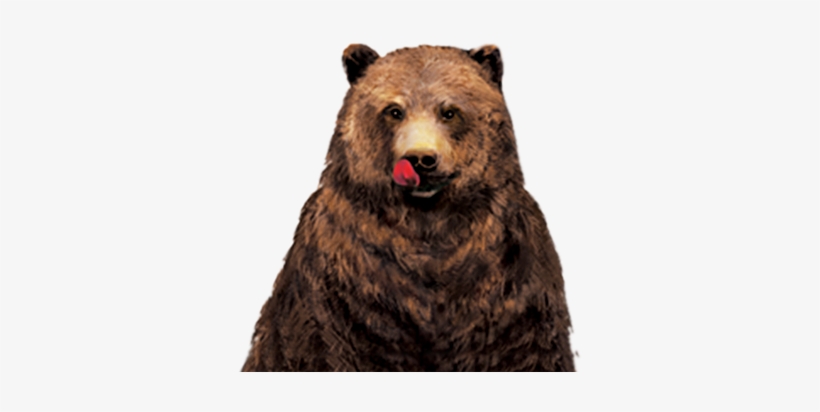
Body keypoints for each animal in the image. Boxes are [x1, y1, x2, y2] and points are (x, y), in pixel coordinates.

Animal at [242, 44, 574, 372]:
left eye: (449, 111)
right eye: (394, 110)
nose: (420, 159)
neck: (427, 221)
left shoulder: (508, 286)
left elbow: (530, 349)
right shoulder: (347, 287)